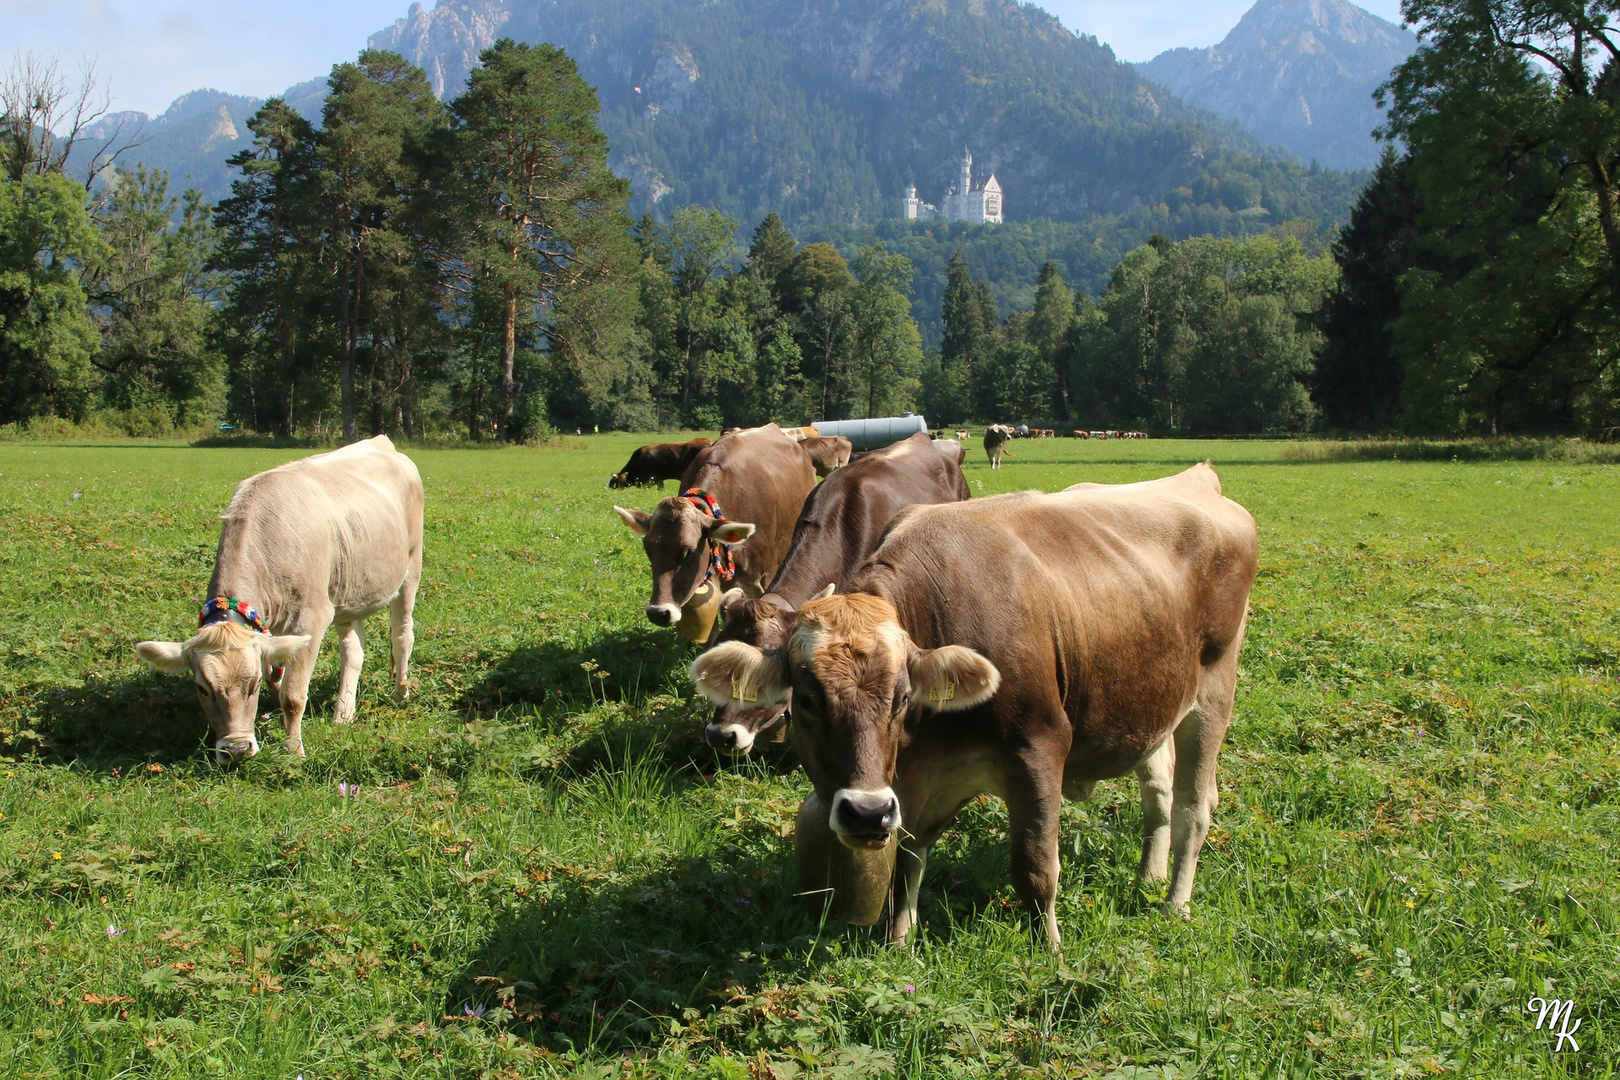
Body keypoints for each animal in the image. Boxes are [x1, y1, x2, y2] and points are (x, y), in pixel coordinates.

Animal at [136, 437, 424, 761]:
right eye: (202, 688)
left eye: (253, 684)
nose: (236, 749)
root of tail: (381, 441)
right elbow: (277, 677)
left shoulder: (312, 617)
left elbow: (292, 694)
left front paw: (293, 752)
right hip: (347, 591)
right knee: (353, 649)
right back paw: (343, 714)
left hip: (411, 569)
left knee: (402, 635)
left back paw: (400, 693)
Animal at [690, 466, 1257, 945]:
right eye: (807, 699)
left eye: (902, 696)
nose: (866, 812)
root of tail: (1198, 478)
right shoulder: (913, 778)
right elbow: (907, 861)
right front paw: (899, 944)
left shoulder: (1039, 749)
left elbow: (1035, 867)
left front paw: (1051, 953)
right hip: (1153, 702)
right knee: (1158, 795)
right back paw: (1148, 878)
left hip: (1213, 693)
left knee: (1193, 806)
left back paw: (1174, 903)